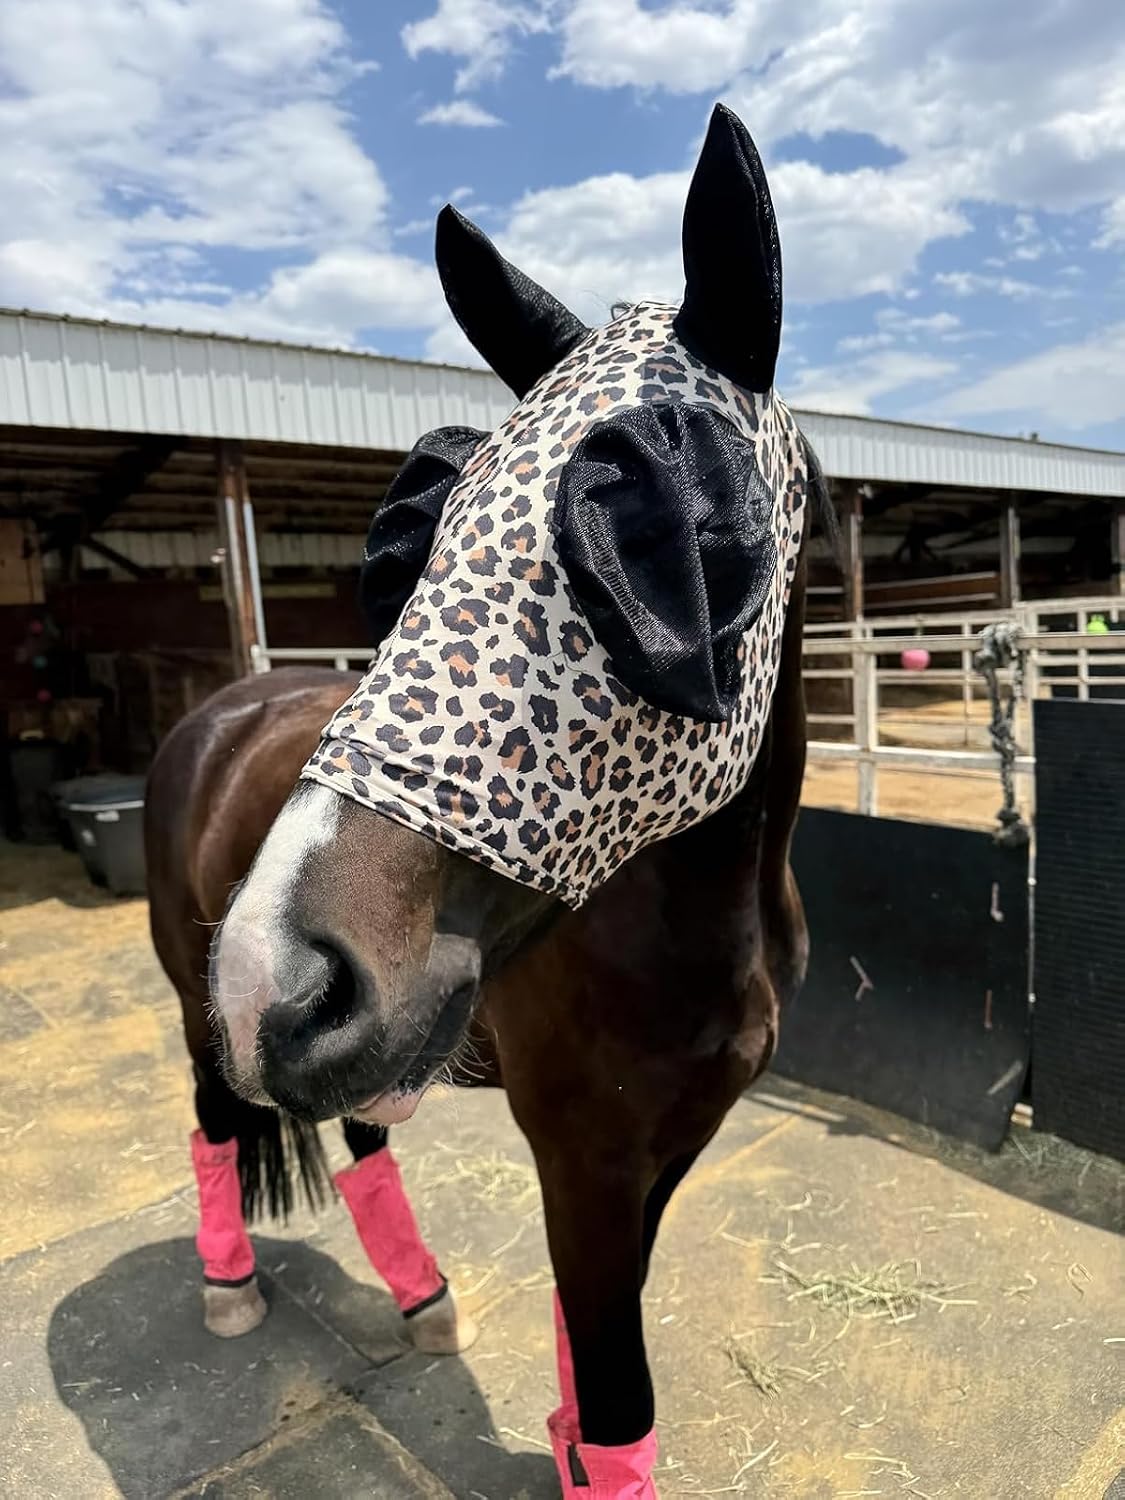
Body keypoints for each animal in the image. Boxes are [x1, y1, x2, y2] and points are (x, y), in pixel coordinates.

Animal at [163, 105, 828, 1498]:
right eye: (421, 543)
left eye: (679, 547)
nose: (274, 980)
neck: (700, 926)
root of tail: (223, 709)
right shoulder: (583, 1154)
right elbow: (622, 1404)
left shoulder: (660, 1152)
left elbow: (594, 1352)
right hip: (197, 1018)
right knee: (213, 1123)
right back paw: (230, 1285)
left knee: (359, 1136)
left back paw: (419, 1296)